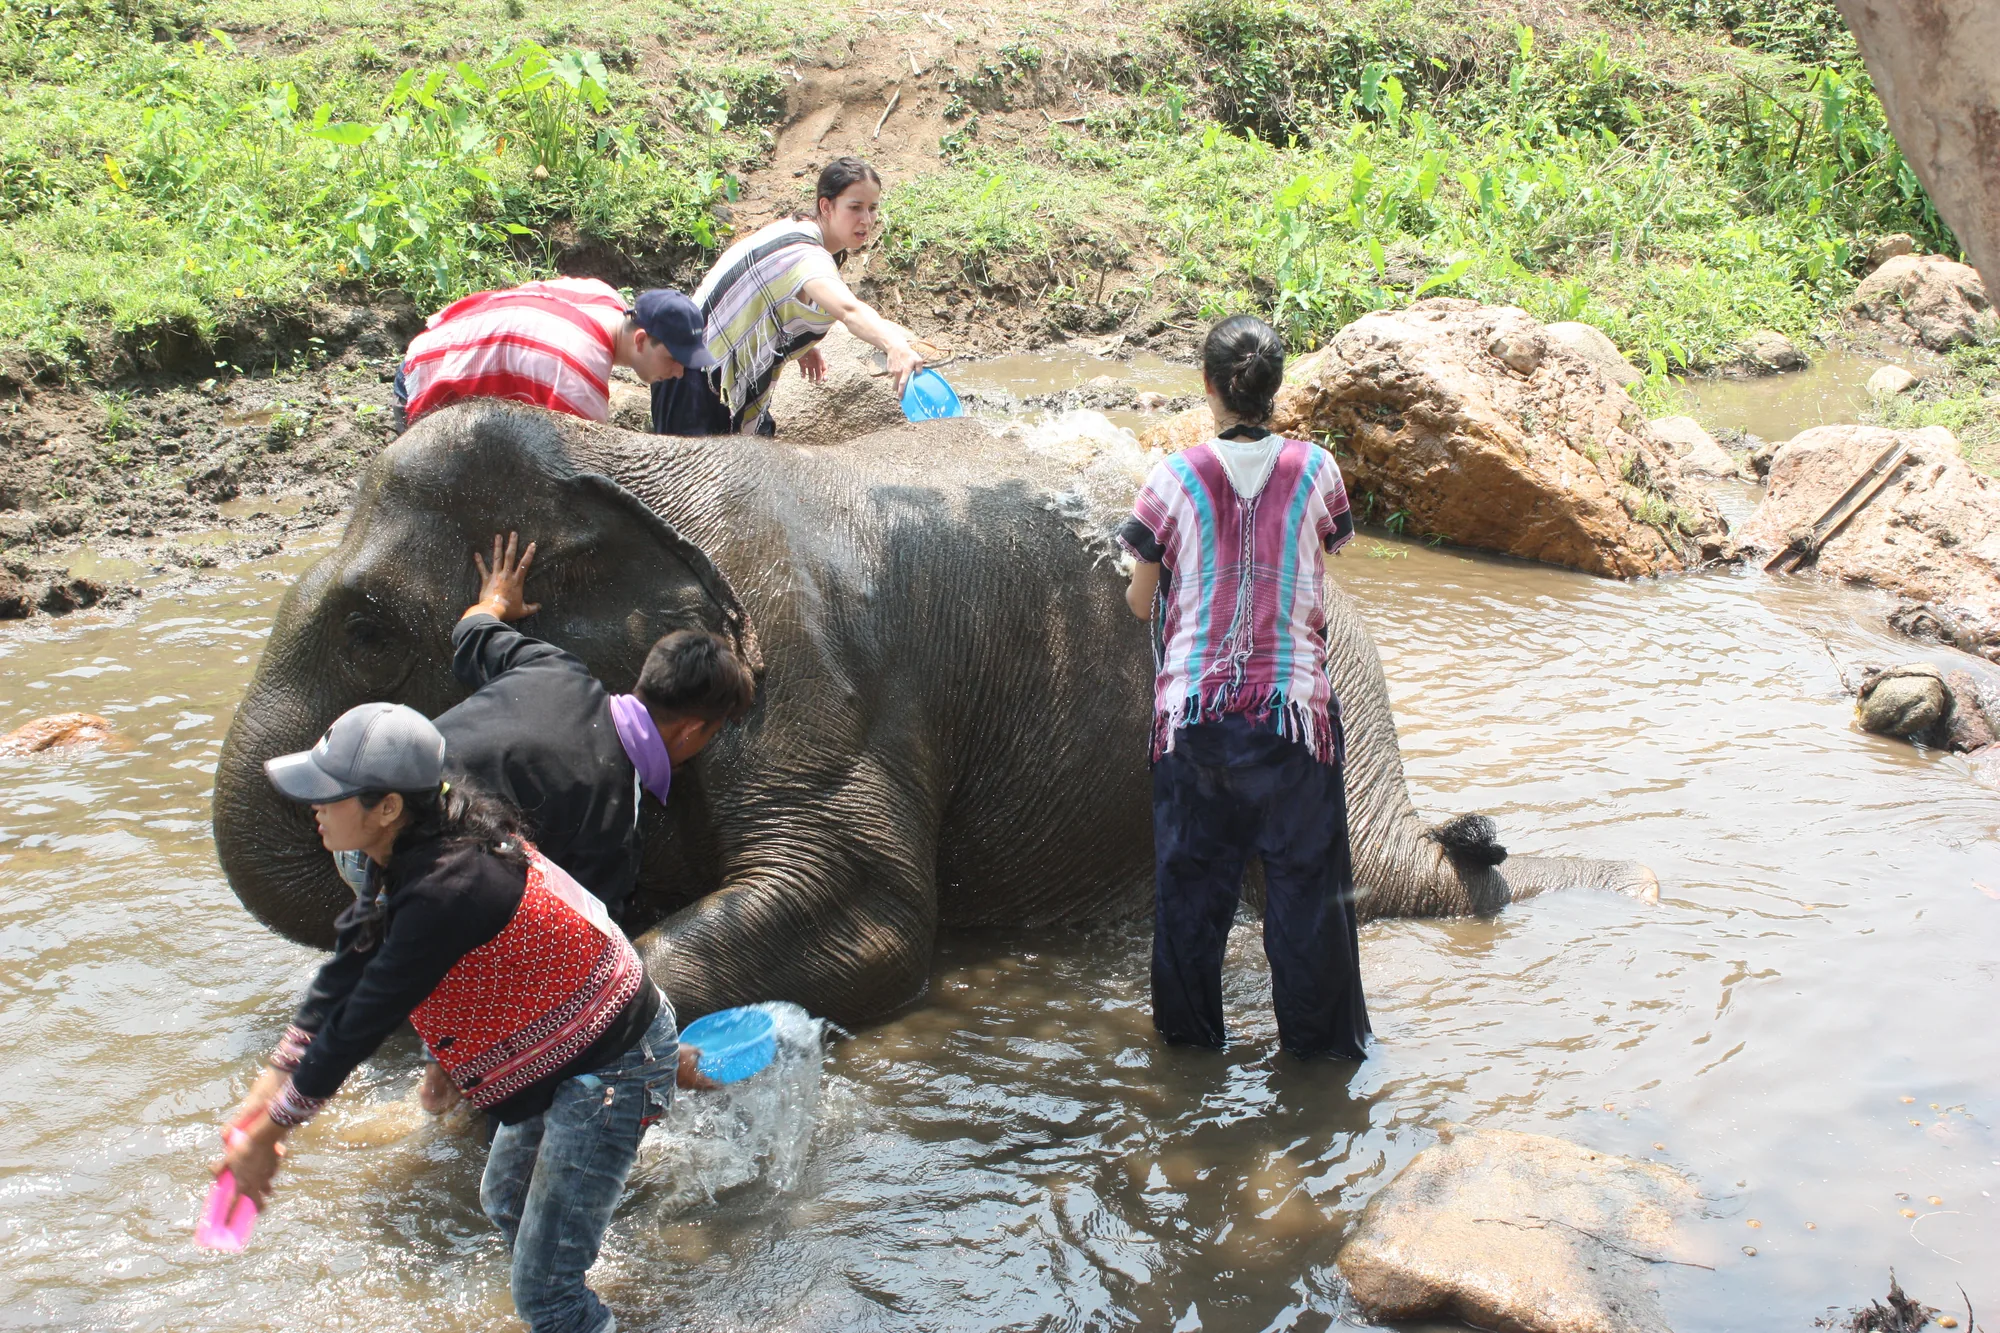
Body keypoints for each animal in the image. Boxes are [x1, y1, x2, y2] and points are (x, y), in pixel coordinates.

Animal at [211, 402, 1659, 1026]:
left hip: (1324, 689)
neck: (621, 456)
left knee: (1382, 876)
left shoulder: (814, 673)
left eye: (366, 626)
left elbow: (868, 914)